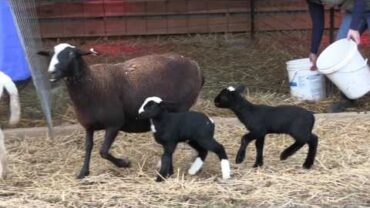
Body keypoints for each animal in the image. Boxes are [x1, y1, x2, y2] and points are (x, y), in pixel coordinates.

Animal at [39, 43, 204, 179]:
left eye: (71, 54)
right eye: (50, 54)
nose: (52, 72)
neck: (93, 84)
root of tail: (194, 64)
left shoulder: (114, 124)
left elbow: (103, 151)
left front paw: (124, 163)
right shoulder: (88, 126)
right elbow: (88, 147)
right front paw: (83, 172)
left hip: (181, 107)